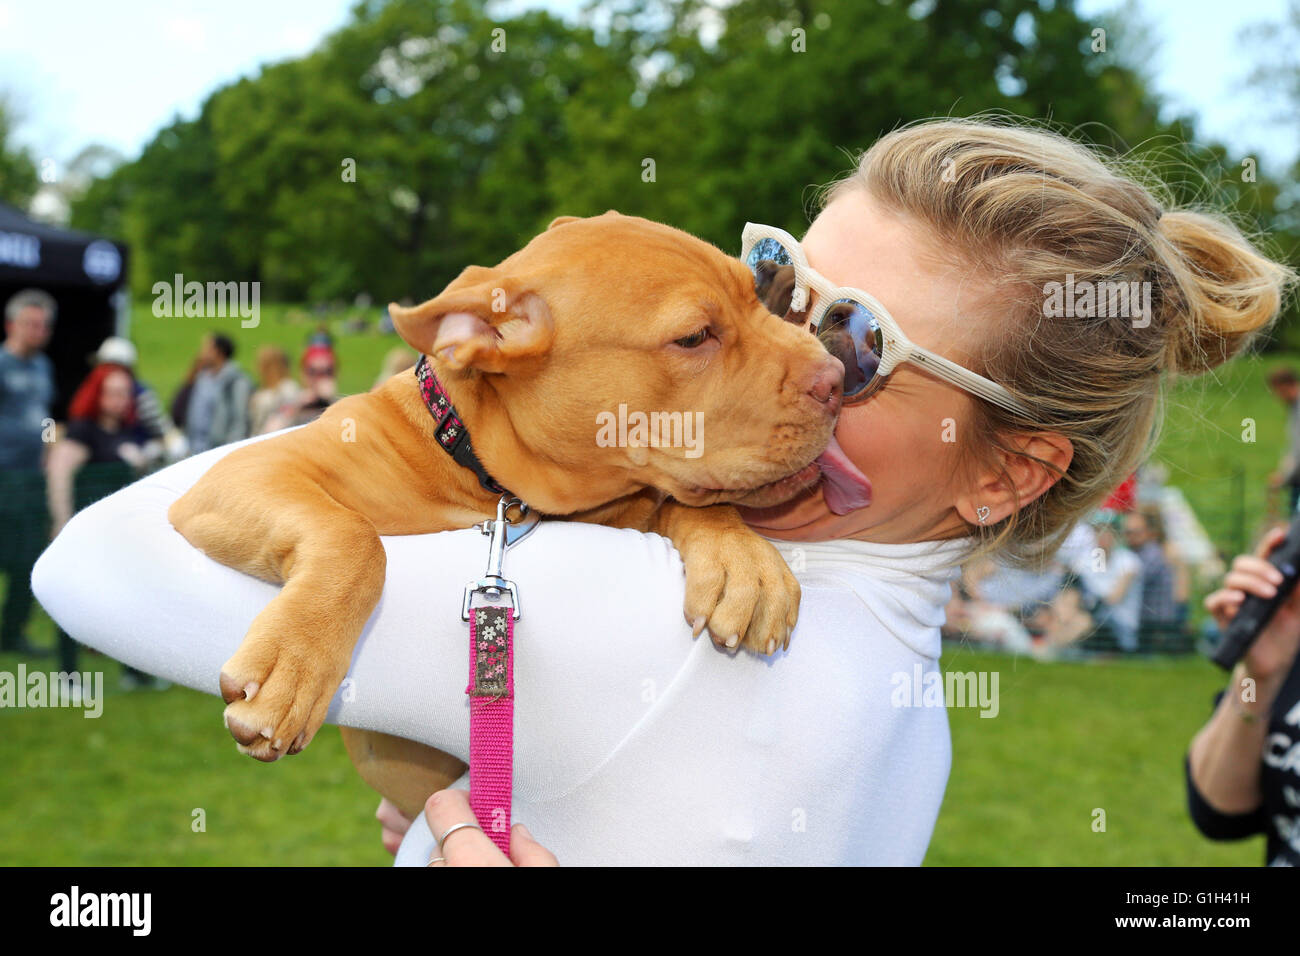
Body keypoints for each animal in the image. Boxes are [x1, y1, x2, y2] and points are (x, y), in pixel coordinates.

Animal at [170, 210, 842, 816]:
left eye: (759, 300)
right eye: (695, 337)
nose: (836, 379)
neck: (479, 470)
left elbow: (684, 501)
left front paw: (743, 560)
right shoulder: (246, 472)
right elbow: (355, 537)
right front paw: (294, 666)